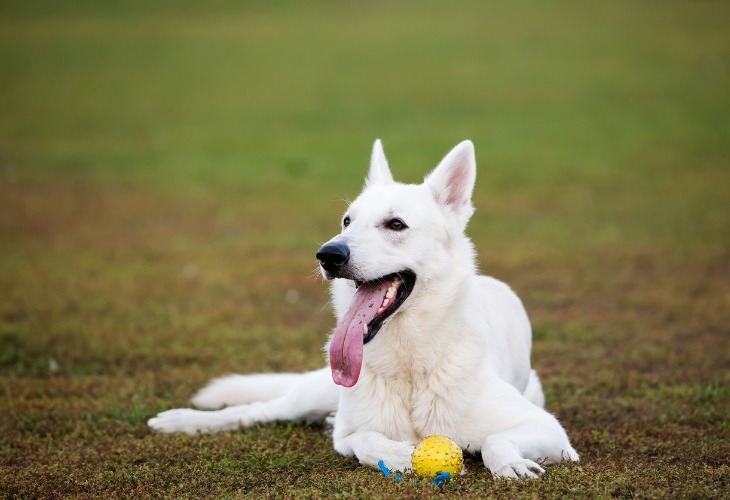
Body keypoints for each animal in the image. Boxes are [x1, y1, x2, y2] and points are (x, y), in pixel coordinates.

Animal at [149, 141, 580, 480]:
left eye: (395, 224)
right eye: (347, 221)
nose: (327, 255)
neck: (410, 370)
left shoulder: (550, 431)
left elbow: (495, 439)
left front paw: (509, 463)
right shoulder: (348, 435)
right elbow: (364, 441)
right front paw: (399, 454)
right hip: (310, 394)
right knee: (261, 409)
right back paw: (186, 420)